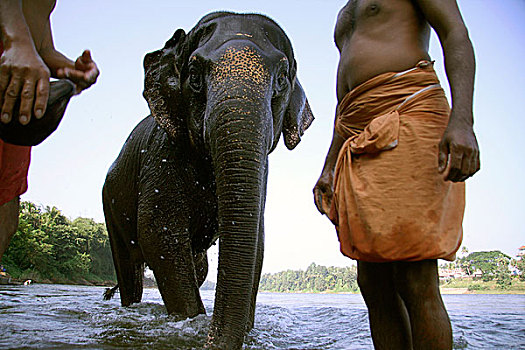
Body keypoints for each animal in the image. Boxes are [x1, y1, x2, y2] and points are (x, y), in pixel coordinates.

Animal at [102, 11, 314, 350]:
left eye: (282, 78)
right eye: (194, 75)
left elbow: (257, 241)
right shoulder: (162, 153)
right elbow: (159, 231)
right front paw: (192, 323)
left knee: (198, 265)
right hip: (110, 205)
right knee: (129, 269)